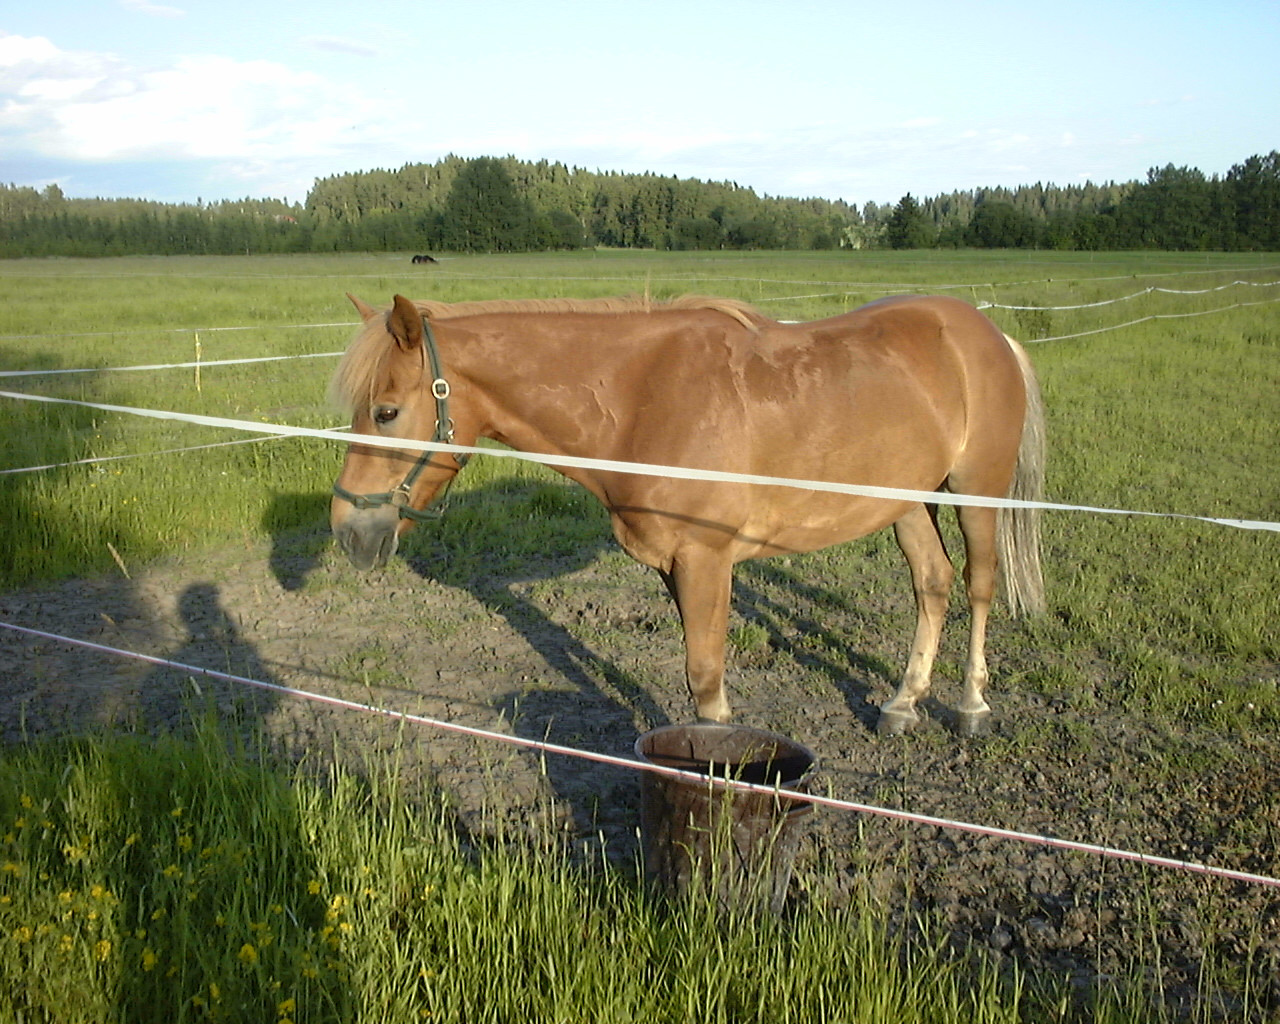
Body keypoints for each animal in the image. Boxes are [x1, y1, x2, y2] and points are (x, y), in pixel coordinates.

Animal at [329, 292, 1046, 736]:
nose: (348, 531)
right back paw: (903, 703)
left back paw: (972, 705)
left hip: (976, 491)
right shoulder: (674, 564)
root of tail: (987, 332)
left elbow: (705, 675)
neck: (640, 399)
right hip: (905, 501)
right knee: (932, 583)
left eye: (386, 411)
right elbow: (698, 674)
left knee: (979, 584)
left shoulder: (706, 559)